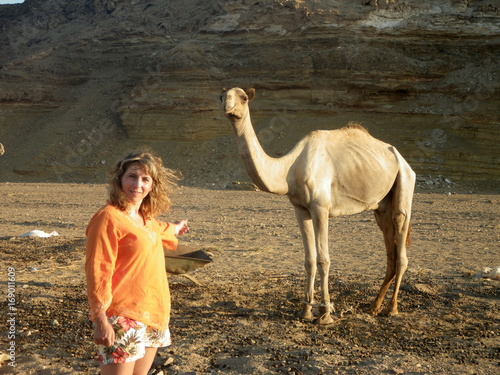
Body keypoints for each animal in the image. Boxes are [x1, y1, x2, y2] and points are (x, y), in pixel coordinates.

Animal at [221, 88, 416, 326]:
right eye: (222, 95)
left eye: (243, 98)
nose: (227, 104)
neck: (290, 168)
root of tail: (403, 160)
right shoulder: (301, 210)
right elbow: (309, 260)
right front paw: (305, 310)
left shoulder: (320, 208)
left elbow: (324, 259)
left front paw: (324, 313)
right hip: (381, 208)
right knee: (390, 252)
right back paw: (374, 306)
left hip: (405, 182)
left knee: (401, 245)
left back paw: (391, 308)